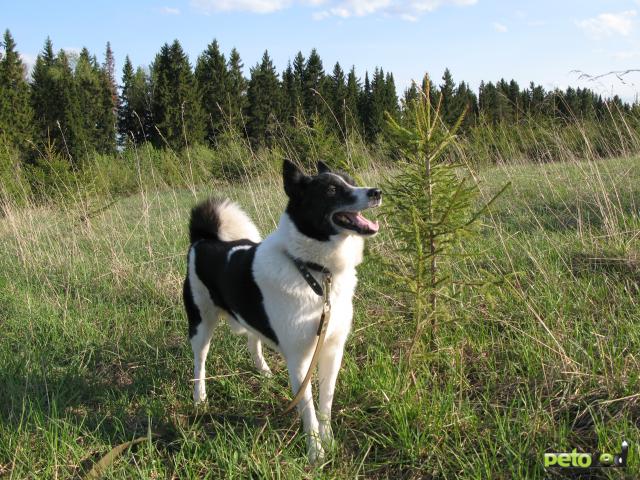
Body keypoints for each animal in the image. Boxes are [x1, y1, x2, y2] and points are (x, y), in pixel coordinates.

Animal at [182, 159, 380, 460]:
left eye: (351, 180)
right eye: (331, 190)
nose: (376, 192)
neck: (313, 271)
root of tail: (202, 240)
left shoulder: (332, 350)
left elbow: (325, 403)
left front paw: (329, 441)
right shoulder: (300, 360)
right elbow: (308, 410)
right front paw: (315, 453)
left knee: (253, 341)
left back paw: (263, 371)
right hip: (201, 323)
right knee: (199, 362)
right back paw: (199, 398)